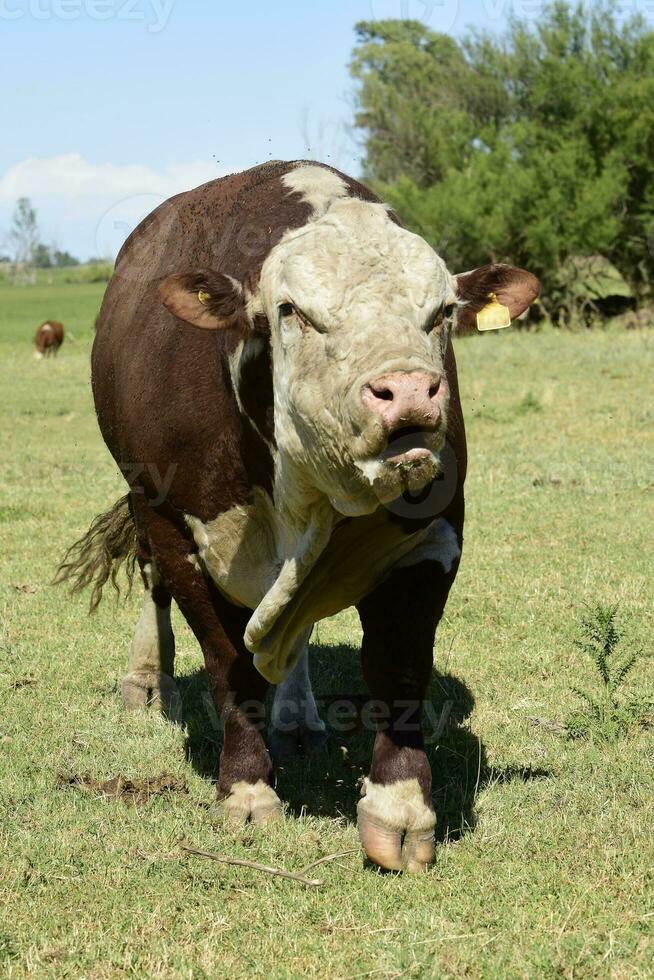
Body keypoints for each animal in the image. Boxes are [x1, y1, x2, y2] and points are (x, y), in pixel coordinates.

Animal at [57, 163, 540, 872]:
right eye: (292, 311)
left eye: (442, 313)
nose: (408, 391)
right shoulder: (182, 532)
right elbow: (230, 666)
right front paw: (246, 790)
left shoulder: (433, 538)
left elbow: (398, 665)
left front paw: (399, 808)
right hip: (143, 501)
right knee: (153, 584)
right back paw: (148, 682)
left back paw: (296, 717)